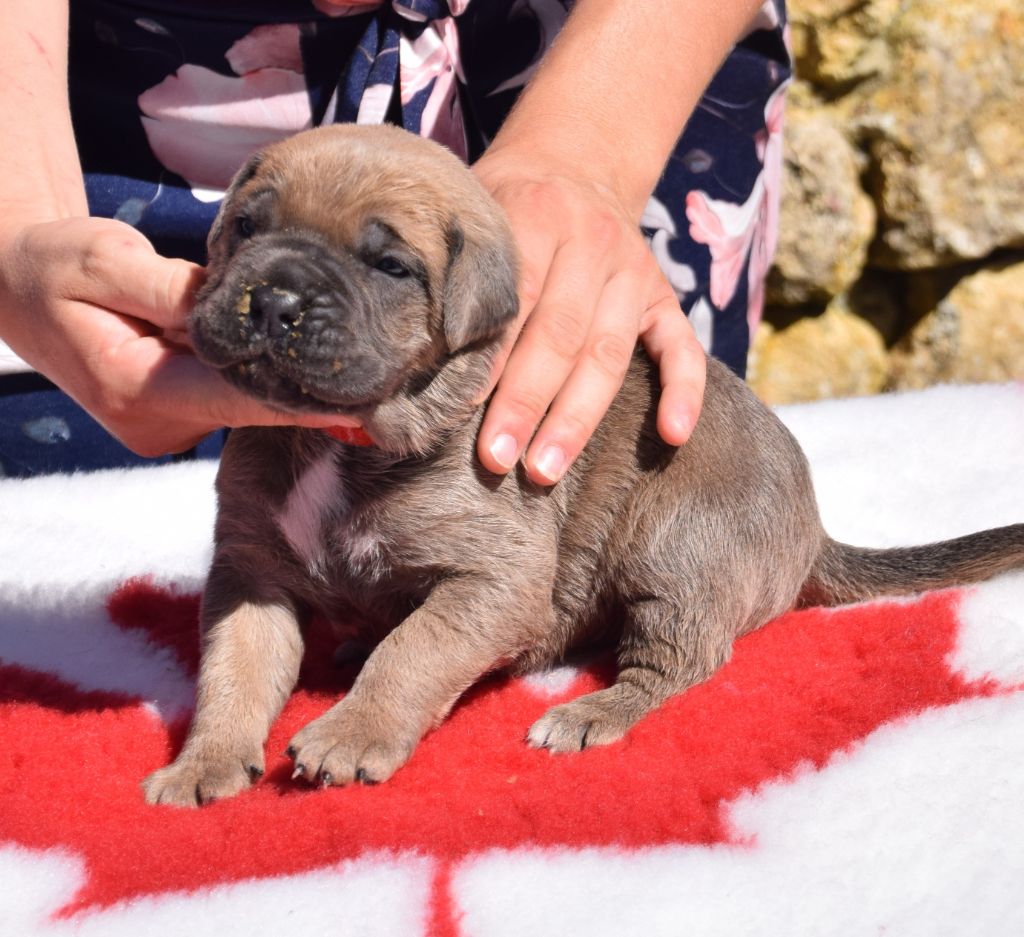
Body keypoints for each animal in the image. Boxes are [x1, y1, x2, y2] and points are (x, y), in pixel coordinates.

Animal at [142, 124, 1024, 806]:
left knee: (682, 659)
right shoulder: (251, 568)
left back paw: (589, 712)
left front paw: (353, 729)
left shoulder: (496, 576)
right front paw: (204, 760)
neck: (341, 439)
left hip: (675, 543)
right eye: (246, 227)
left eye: (390, 267)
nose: (277, 301)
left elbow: (416, 649)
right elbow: (234, 667)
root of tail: (815, 532)